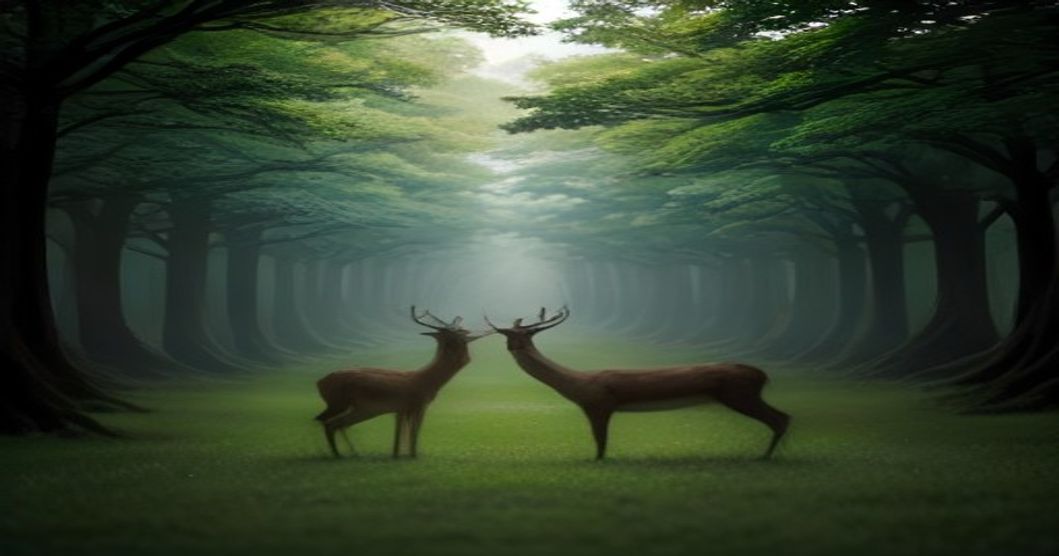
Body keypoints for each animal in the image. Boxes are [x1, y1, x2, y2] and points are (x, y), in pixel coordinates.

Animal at [314, 306, 490, 458]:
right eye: (459, 333)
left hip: (358, 408)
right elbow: (414, 432)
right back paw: (340, 454)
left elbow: (401, 434)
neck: (429, 381)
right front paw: (413, 455)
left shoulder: (401, 409)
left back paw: (350, 453)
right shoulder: (418, 404)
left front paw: (397, 454)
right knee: (327, 422)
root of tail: (320, 382)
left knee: (334, 423)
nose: (472, 333)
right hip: (339, 403)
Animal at [486, 307, 791, 460]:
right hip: (743, 395)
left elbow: (600, 442)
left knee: (779, 418)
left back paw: (765, 457)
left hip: (739, 394)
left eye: (505, 333)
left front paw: (598, 462)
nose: (493, 331)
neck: (576, 383)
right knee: (783, 416)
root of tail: (763, 375)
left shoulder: (598, 404)